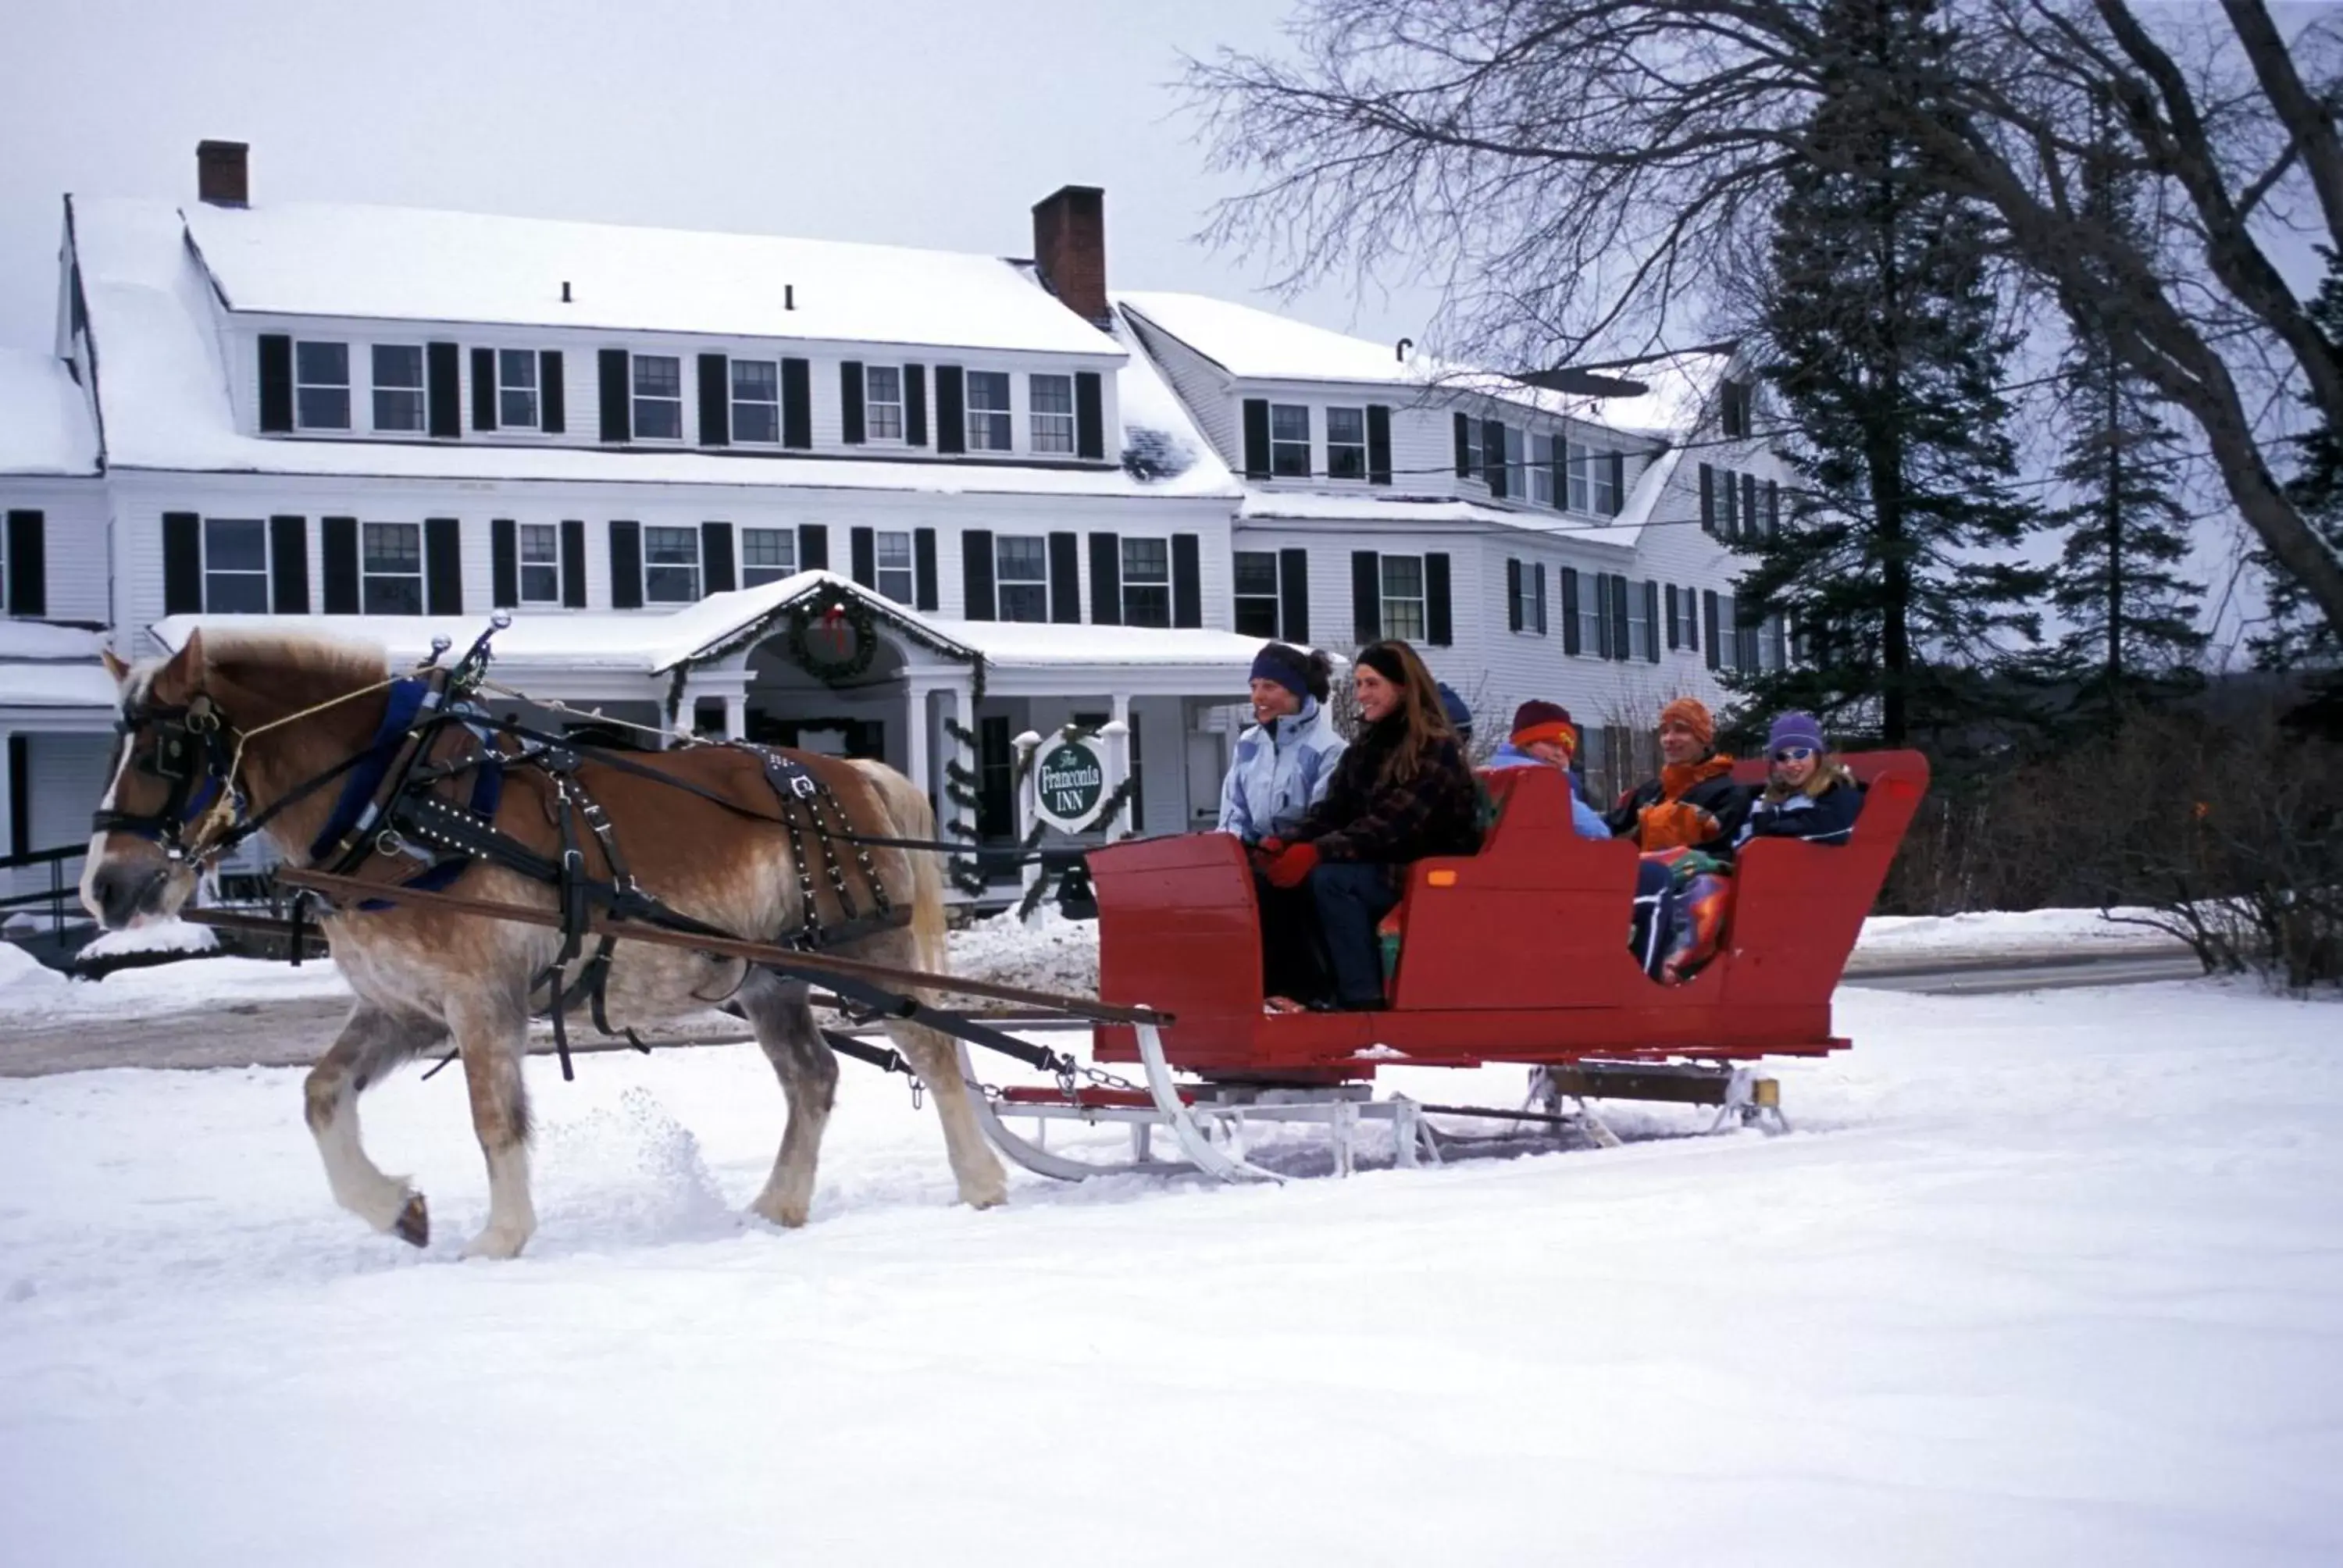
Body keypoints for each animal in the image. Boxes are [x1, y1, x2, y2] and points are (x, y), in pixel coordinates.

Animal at [77, 628, 1012, 1256]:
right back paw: (778, 1205)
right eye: (114, 745)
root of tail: (850, 771)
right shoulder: (401, 1005)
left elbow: (494, 1118)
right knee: (813, 1076)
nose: (104, 888)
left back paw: (982, 1183)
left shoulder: (480, 998)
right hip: (771, 976)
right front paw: (396, 1209)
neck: (396, 804)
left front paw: (500, 1237)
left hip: (867, 955)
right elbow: (320, 1093)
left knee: (933, 1050)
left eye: (167, 750)